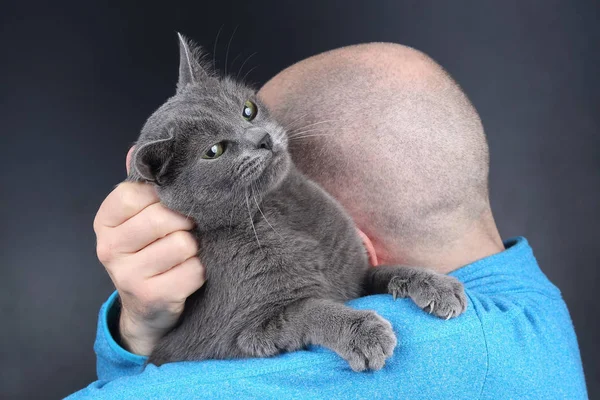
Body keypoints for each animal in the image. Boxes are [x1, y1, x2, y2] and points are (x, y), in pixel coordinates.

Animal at [129, 34, 468, 372]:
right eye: (214, 151)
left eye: (248, 110)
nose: (263, 138)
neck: (281, 209)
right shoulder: (245, 331)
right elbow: (311, 309)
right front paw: (364, 332)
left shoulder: (355, 276)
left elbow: (387, 271)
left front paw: (438, 285)